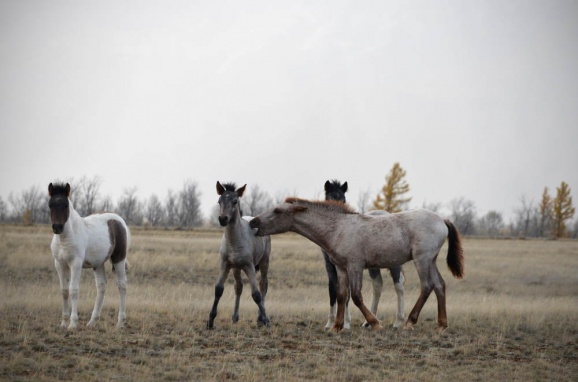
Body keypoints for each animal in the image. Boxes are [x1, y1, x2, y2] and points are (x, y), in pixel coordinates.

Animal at [47, 182, 129, 328]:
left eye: (66, 205)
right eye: (50, 205)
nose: (57, 227)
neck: (64, 238)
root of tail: (119, 220)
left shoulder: (75, 263)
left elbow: (73, 290)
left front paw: (73, 324)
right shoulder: (60, 264)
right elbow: (64, 291)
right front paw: (63, 323)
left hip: (119, 259)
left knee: (122, 285)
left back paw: (120, 322)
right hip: (98, 263)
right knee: (101, 286)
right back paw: (92, 321)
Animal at [206, 182, 272, 328]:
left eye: (235, 201)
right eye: (219, 201)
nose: (223, 219)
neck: (234, 241)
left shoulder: (249, 266)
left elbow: (256, 294)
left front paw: (266, 320)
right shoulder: (225, 264)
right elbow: (218, 289)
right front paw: (210, 321)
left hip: (264, 262)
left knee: (263, 285)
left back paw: (260, 318)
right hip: (236, 268)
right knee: (239, 287)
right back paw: (235, 317)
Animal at [249, 198, 464, 332]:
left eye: (277, 211)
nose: (253, 222)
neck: (338, 228)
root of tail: (442, 219)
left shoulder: (355, 266)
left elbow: (357, 296)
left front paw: (375, 323)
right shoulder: (342, 268)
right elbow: (341, 295)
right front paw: (336, 327)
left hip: (422, 260)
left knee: (427, 286)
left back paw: (409, 322)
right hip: (431, 260)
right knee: (440, 285)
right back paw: (441, 325)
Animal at [322, 181, 402, 330]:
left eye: (343, 199)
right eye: (329, 198)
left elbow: (347, 293)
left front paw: (346, 324)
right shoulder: (329, 264)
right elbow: (332, 289)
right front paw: (329, 323)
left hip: (393, 262)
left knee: (399, 285)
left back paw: (398, 322)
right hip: (374, 266)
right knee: (378, 285)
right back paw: (368, 323)